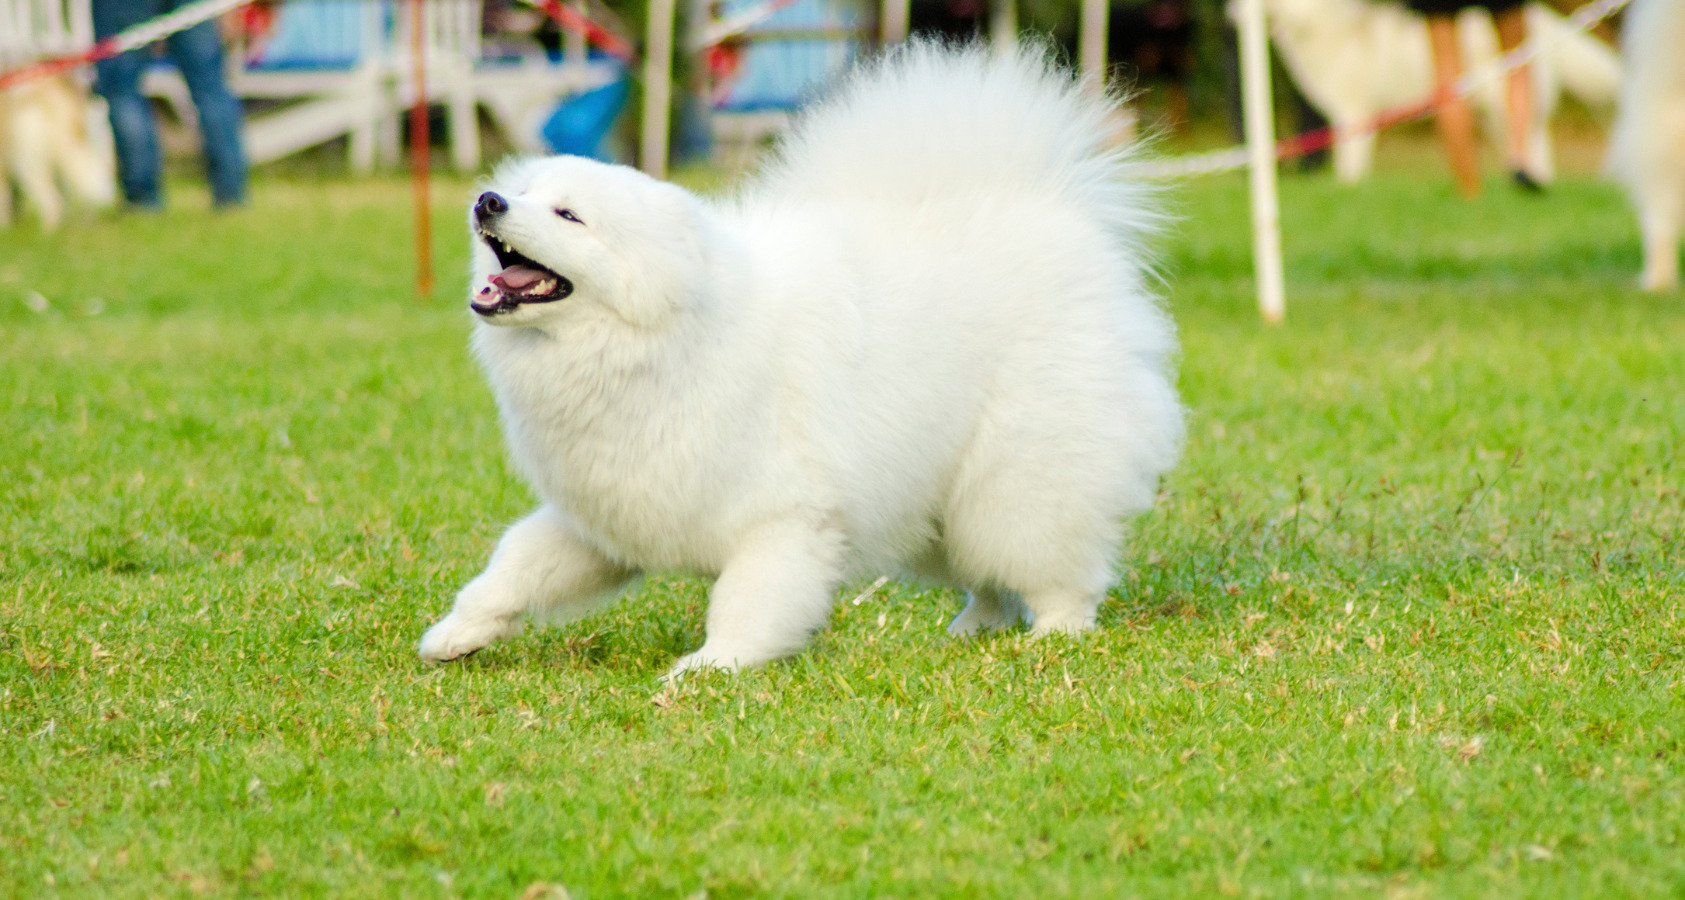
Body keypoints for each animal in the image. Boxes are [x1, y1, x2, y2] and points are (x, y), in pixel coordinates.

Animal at [417, 44, 1186, 677]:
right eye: (525, 193)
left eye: (569, 216)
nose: (489, 200)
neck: (668, 341)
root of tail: (1046, 208)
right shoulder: (603, 519)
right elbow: (512, 570)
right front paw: (456, 635)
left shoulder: (782, 518)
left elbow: (744, 602)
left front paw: (711, 668)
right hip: (937, 499)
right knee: (989, 578)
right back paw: (972, 630)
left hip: (1012, 480)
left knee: (1053, 567)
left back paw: (1054, 633)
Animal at [1260, 0, 1624, 183]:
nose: (1241, 17)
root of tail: (1544, 23)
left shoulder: (1353, 111)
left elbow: (1350, 165)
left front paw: (1350, 187)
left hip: (1499, 96)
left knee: (1534, 138)